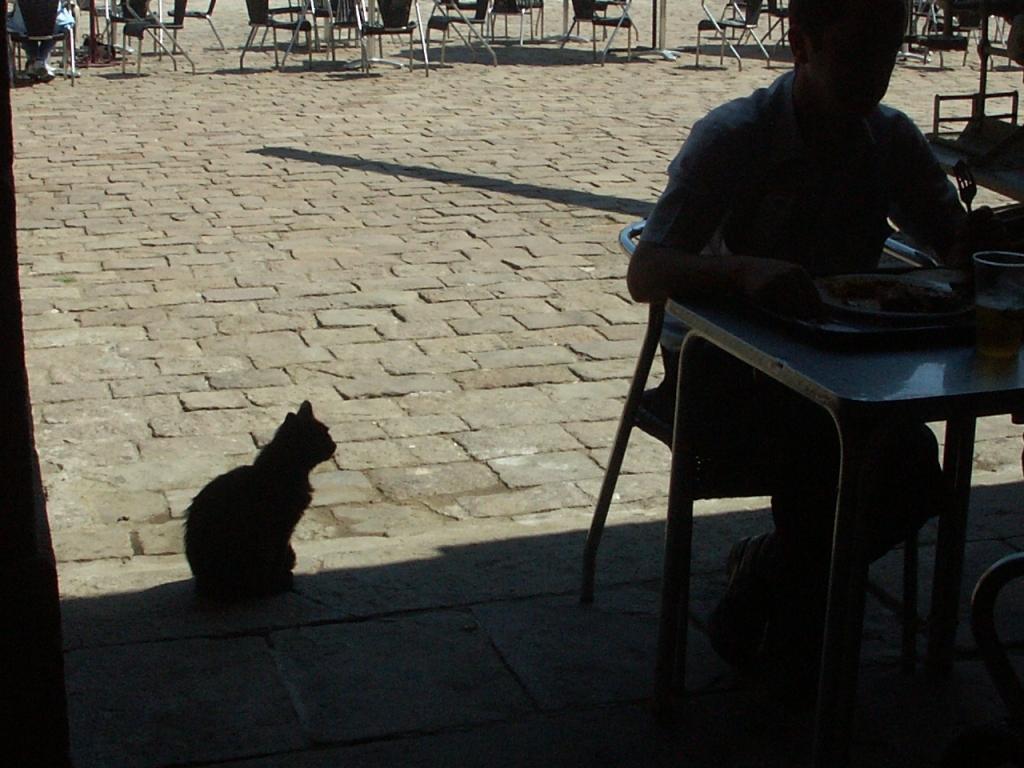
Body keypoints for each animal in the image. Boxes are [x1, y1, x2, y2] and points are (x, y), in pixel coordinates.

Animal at [184, 399, 335, 606]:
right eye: (322, 436)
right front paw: (280, 579)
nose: (334, 445)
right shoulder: (281, 528)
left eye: (327, 431)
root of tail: (204, 586)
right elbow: (278, 558)